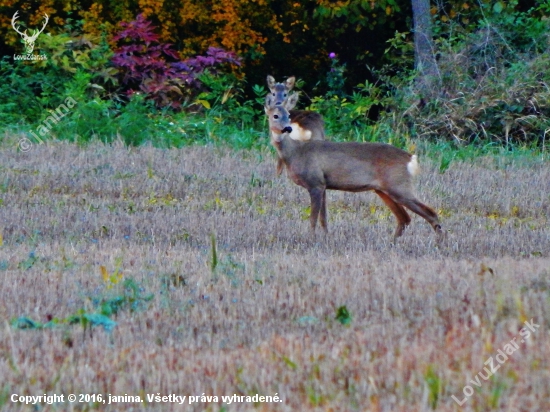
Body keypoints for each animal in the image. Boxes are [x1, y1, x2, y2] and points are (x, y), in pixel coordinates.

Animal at [266, 93, 444, 240]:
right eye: (275, 115)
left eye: (289, 115)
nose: (287, 128)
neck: (296, 152)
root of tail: (409, 158)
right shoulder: (323, 184)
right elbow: (323, 217)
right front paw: (326, 237)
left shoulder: (315, 182)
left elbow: (313, 218)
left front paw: (310, 239)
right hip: (384, 189)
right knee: (404, 218)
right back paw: (392, 242)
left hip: (399, 185)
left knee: (430, 213)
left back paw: (440, 243)